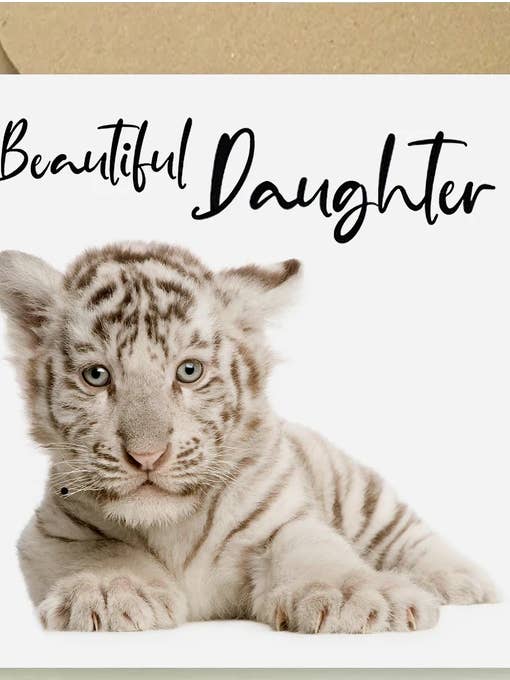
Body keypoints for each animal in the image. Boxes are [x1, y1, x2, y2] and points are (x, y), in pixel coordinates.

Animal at [0, 242, 497, 633]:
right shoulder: (51, 533)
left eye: (189, 371)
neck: (171, 525)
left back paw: (461, 581)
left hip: (360, 492)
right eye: (97, 376)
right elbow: (102, 552)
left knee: (409, 533)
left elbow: (317, 553)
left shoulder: (285, 520)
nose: (147, 456)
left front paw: (357, 598)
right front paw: (109, 593)